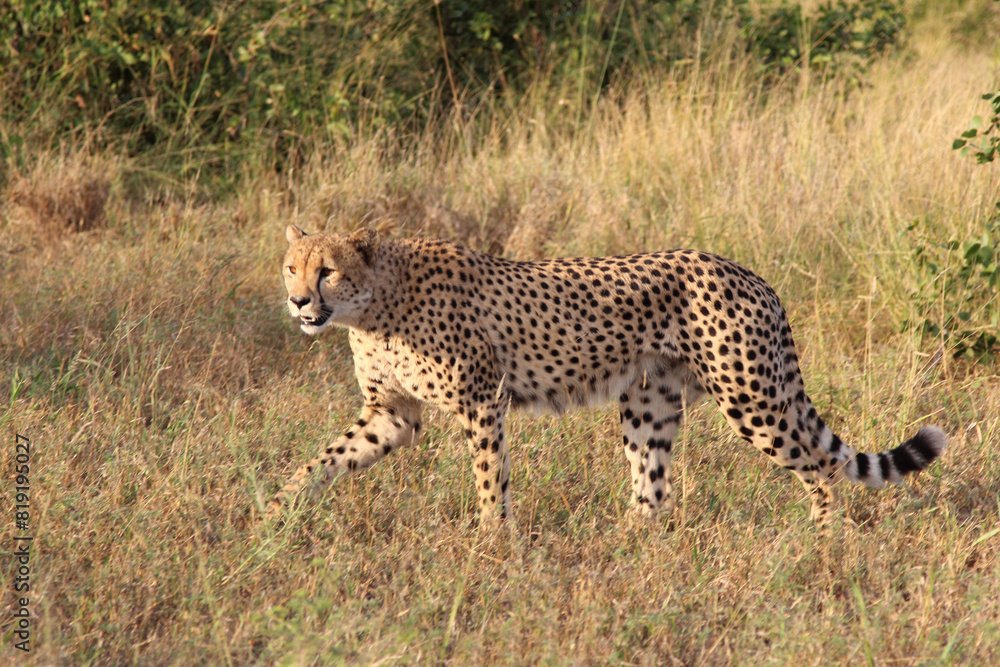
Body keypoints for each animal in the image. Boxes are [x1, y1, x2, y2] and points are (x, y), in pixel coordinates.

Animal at [269, 224, 947, 527]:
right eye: (290, 267)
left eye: (327, 270)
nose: (300, 303)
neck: (374, 305)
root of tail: (749, 272)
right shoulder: (393, 414)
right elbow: (326, 458)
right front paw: (275, 508)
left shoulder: (482, 401)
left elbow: (490, 479)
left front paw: (491, 543)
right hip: (650, 402)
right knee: (653, 485)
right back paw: (634, 540)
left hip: (750, 397)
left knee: (820, 466)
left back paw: (825, 538)